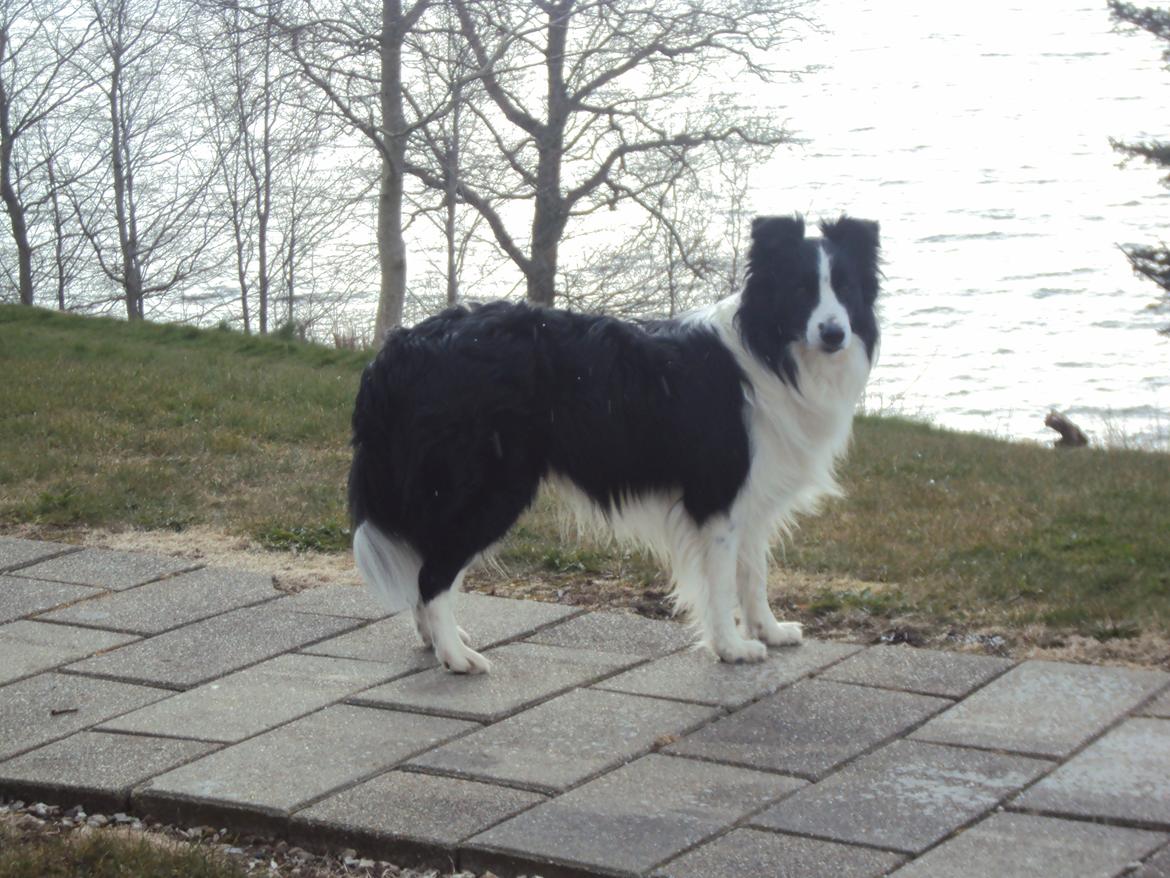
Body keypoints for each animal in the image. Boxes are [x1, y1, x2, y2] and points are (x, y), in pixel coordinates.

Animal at [346, 215, 879, 674]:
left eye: (847, 289)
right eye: (800, 290)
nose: (834, 333)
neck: (770, 353)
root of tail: (401, 346)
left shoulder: (753, 495)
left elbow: (754, 573)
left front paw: (768, 631)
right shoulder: (717, 497)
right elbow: (722, 581)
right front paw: (731, 649)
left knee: (426, 566)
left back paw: (435, 642)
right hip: (491, 487)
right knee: (432, 574)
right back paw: (456, 658)